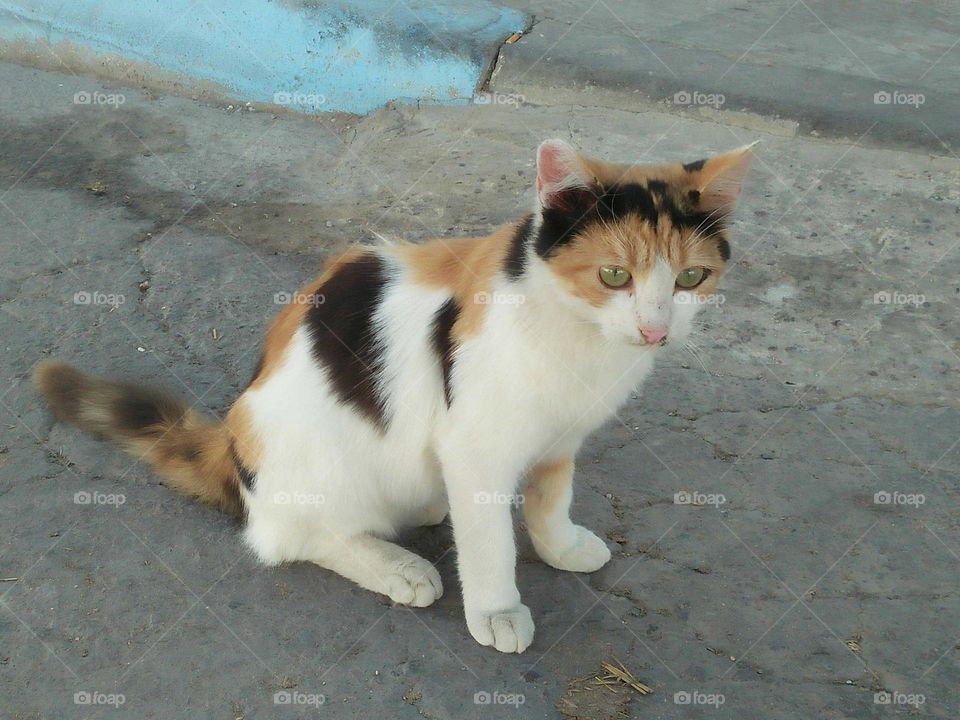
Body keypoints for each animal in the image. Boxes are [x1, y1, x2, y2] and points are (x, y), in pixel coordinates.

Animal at [35, 138, 756, 656]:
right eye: (613, 275)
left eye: (692, 278)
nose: (657, 329)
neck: (579, 335)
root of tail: (235, 441)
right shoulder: (476, 447)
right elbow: (491, 542)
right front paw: (496, 609)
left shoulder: (560, 436)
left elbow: (551, 501)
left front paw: (560, 548)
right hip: (320, 460)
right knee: (287, 535)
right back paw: (396, 566)